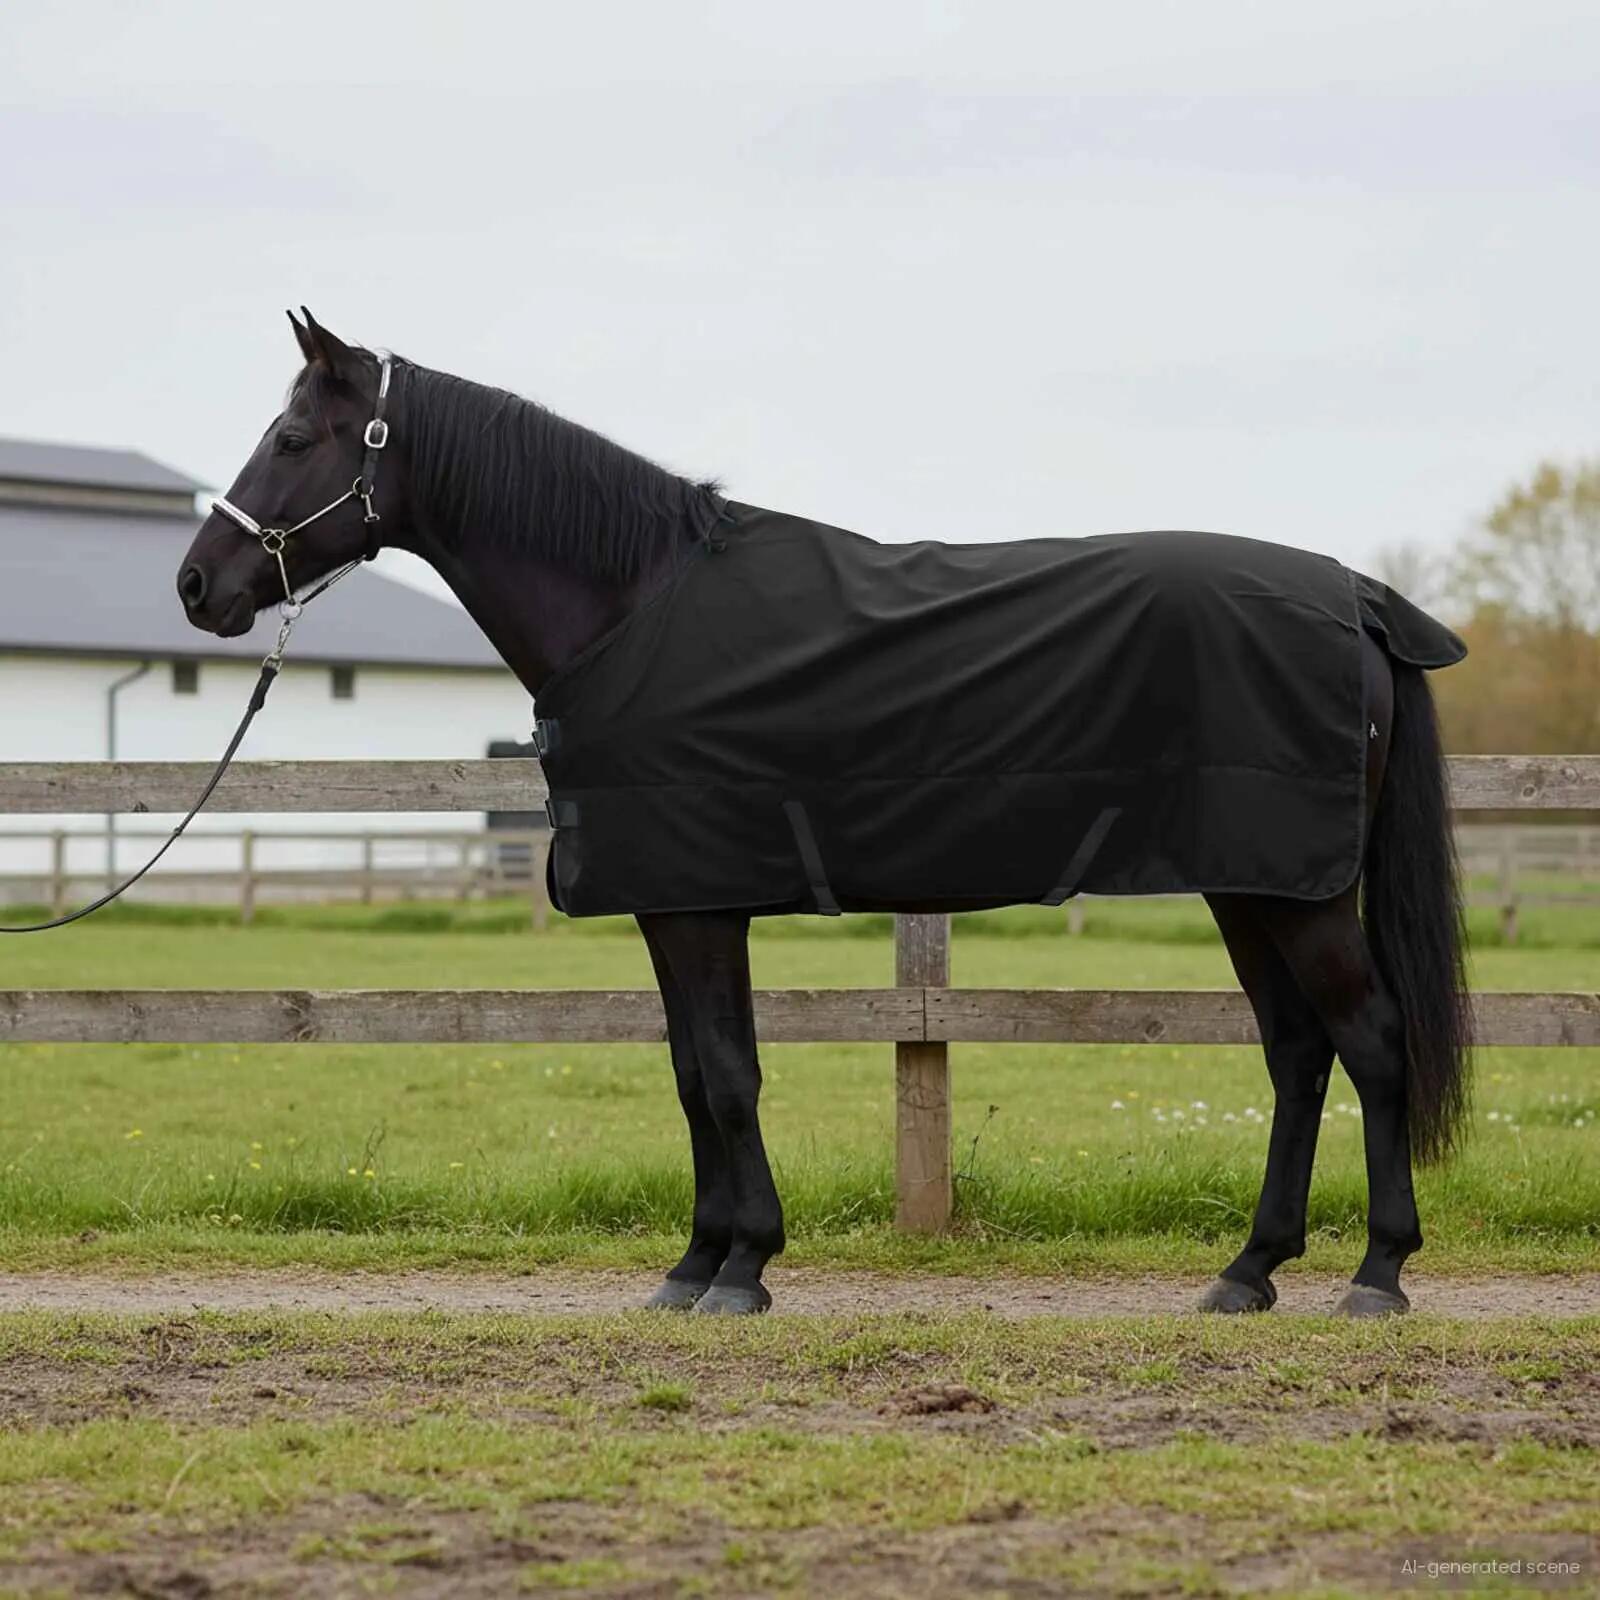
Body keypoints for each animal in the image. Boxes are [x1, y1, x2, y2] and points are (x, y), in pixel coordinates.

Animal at [176, 309, 1471, 1318]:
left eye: (292, 438)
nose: (197, 585)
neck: (630, 605)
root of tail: (1355, 598)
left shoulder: (698, 905)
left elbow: (726, 1075)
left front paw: (741, 1266)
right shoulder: (679, 903)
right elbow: (694, 1072)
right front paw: (698, 1261)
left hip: (1294, 894)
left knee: (1371, 1040)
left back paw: (1377, 1273)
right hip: (1252, 885)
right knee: (1297, 1051)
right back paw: (1248, 1270)